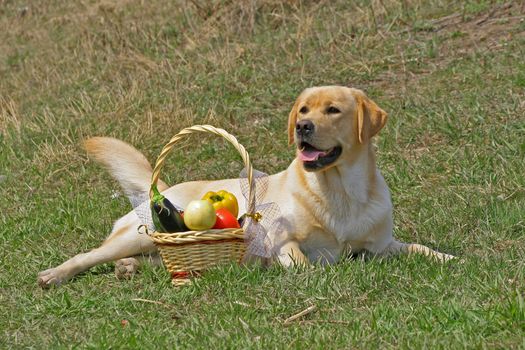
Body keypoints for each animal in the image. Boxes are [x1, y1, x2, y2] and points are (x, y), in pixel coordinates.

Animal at [37, 85, 454, 288]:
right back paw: (55, 275)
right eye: (304, 110)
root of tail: (163, 189)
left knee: (156, 261)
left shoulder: (382, 246)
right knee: (89, 255)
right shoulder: (284, 242)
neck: (340, 192)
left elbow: (419, 248)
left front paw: (449, 258)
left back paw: (128, 269)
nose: (303, 127)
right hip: (132, 236)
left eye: (333, 110)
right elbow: (305, 262)